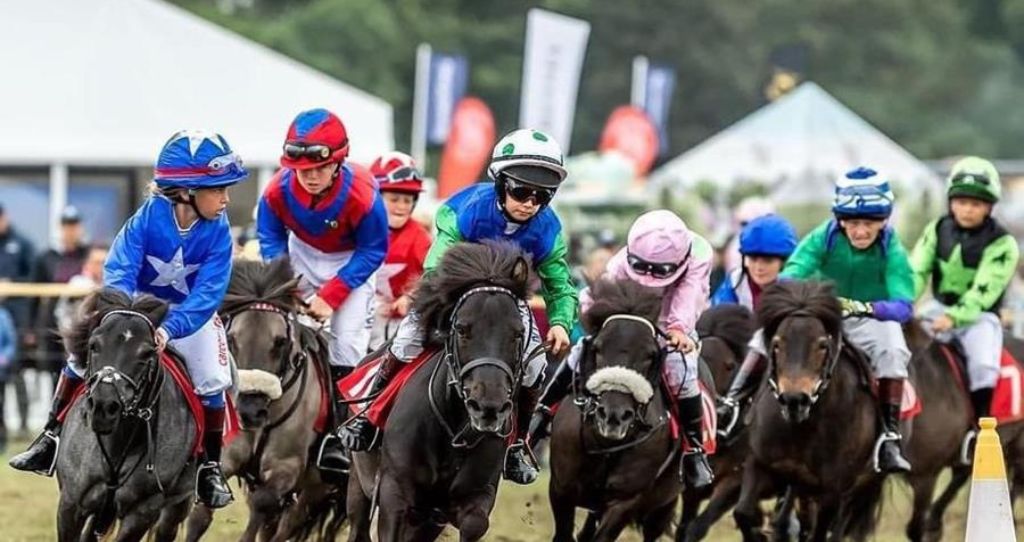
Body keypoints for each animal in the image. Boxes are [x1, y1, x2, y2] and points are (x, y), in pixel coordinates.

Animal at [348, 241, 532, 540]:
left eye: (517, 333)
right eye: (462, 329)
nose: (488, 407)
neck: (451, 433)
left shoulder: (473, 497)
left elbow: (474, 522)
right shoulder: (393, 492)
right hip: (358, 483)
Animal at [548, 278, 684, 540]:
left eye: (650, 354)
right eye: (598, 348)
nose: (614, 416)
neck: (605, 447)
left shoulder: (625, 501)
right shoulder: (561, 487)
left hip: (662, 505)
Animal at [733, 282, 884, 540]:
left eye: (822, 345)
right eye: (776, 343)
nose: (795, 400)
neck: (803, 428)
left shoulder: (833, 492)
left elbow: (821, 532)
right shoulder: (760, 463)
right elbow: (742, 513)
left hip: (861, 487)